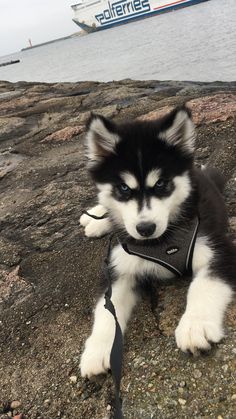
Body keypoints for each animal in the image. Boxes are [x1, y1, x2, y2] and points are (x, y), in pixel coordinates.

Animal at [79, 106, 234, 378]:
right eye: (123, 189)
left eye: (161, 184)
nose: (145, 228)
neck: (161, 243)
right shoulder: (118, 267)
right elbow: (106, 310)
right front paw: (97, 350)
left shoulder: (218, 247)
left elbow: (204, 285)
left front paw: (195, 326)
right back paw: (95, 219)